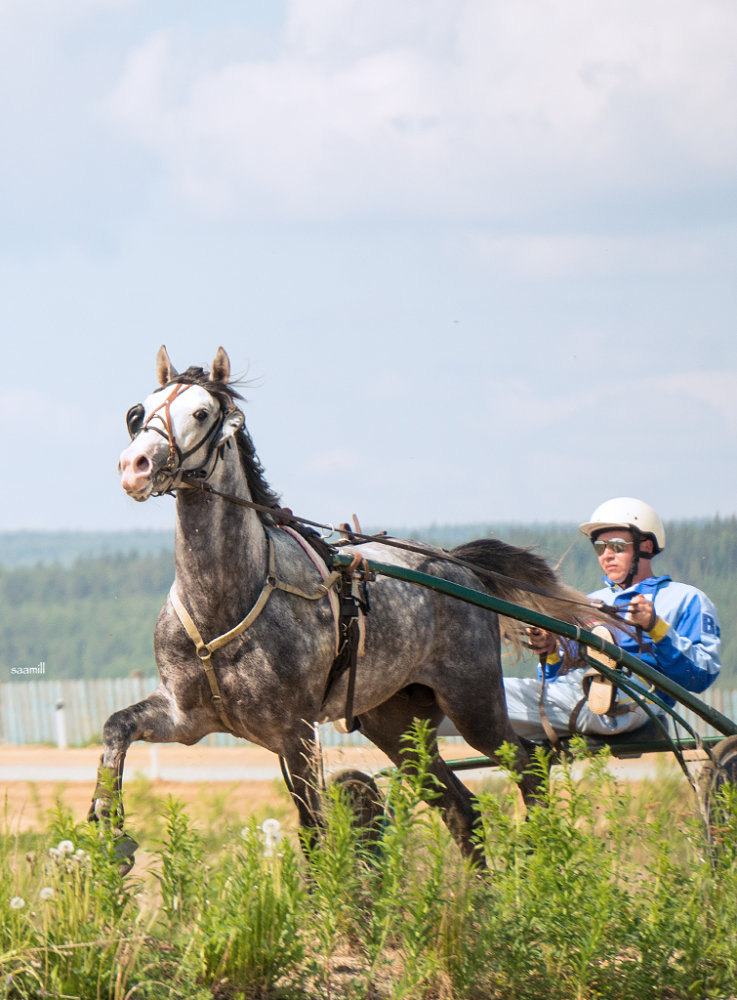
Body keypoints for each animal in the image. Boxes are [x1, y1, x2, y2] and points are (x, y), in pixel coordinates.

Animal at [90, 344, 600, 868]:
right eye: (142, 411)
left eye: (201, 412)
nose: (136, 464)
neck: (224, 601)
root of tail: (455, 565)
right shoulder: (186, 717)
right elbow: (116, 727)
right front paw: (109, 829)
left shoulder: (294, 733)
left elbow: (313, 836)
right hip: (394, 724)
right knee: (462, 809)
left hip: (473, 701)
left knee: (528, 765)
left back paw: (540, 860)